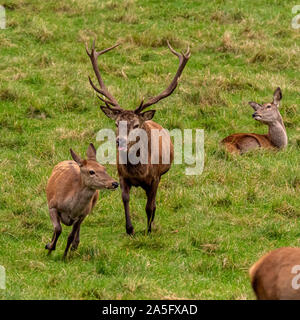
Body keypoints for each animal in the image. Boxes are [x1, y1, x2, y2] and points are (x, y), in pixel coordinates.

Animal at [85, 40, 191, 235]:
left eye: (135, 125)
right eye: (116, 123)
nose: (120, 141)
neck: (139, 170)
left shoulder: (155, 178)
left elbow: (150, 206)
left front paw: (148, 230)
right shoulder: (122, 176)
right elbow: (125, 198)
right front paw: (130, 229)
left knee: (153, 203)